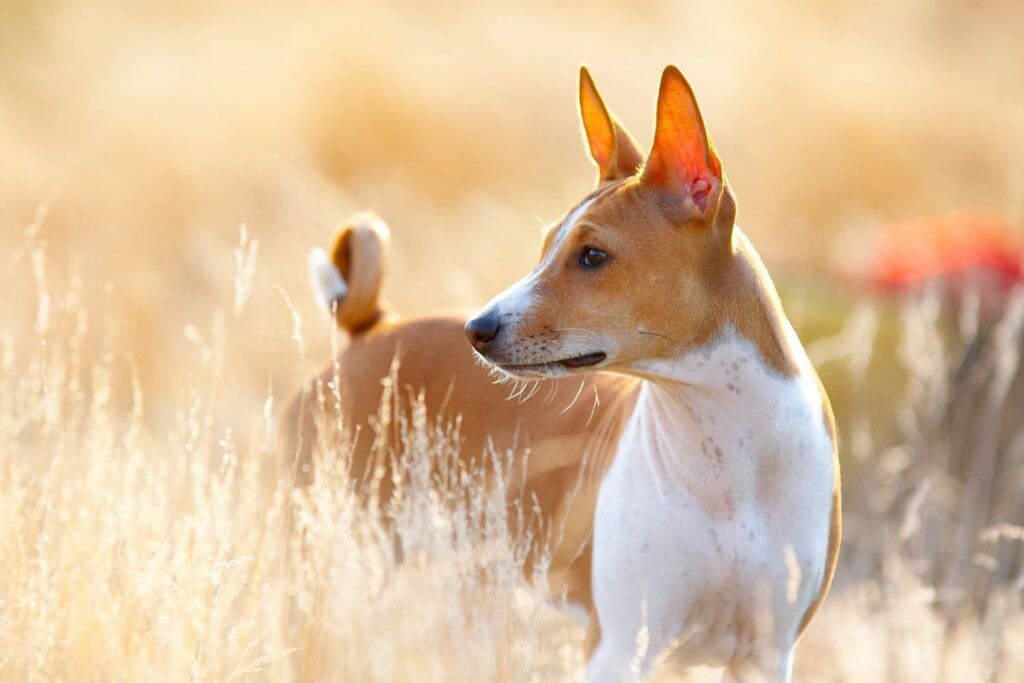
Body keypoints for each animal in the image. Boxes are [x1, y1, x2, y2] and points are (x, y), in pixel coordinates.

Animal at [282, 65, 839, 683]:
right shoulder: (619, 647)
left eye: (593, 255)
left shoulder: (766, 654)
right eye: (547, 245)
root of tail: (372, 328)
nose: (477, 328)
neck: (728, 462)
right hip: (336, 563)